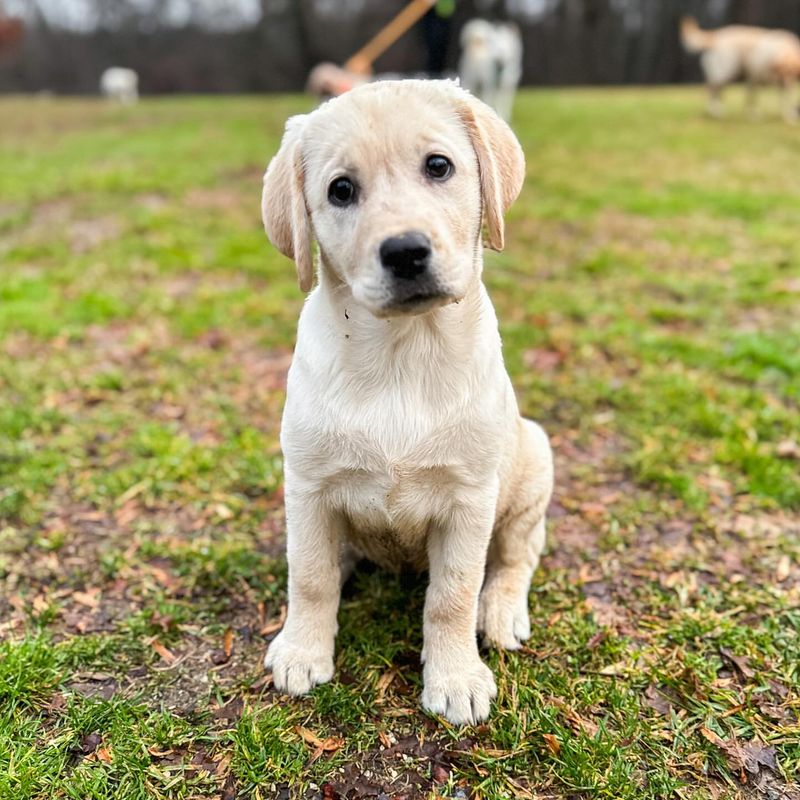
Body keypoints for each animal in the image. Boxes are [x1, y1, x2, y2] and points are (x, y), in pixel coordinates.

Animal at [260, 79, 552, 724]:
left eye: (438, 166)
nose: (405, 252)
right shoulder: (308, 488)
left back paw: (501, 612)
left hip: (532, 467)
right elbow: (310, 575)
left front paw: (456, 677)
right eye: (341, 189)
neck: (402, 353)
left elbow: (453, 595)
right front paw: (302, 650)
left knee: (517, 555)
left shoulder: (469, 500)